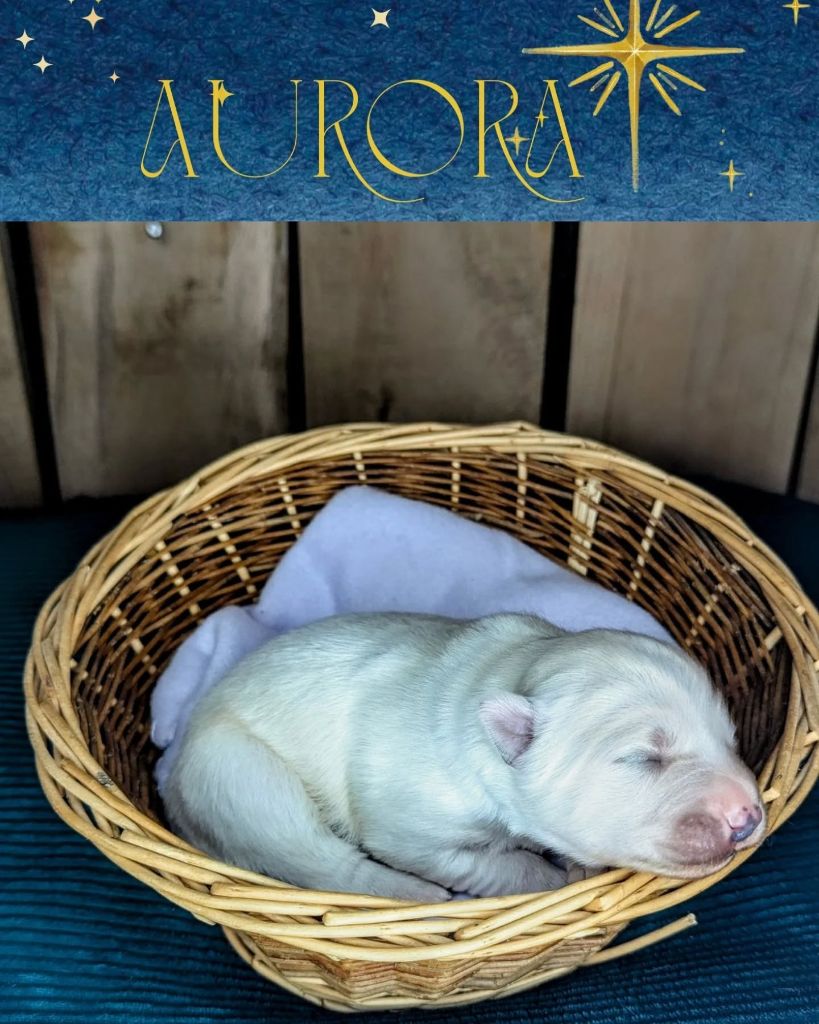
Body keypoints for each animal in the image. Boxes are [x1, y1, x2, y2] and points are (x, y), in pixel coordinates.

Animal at [163, 613, 765, 901]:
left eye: (731, 739)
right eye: (645, 758)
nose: (749, 815)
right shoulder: (412, 823)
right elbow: (476, 861)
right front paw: (548, 876)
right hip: (235, 773)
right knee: (312, 854)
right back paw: (416, 894)